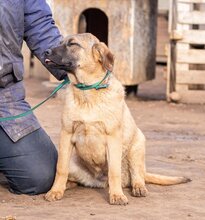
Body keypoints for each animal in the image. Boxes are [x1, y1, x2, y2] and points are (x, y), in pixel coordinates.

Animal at [43, 33, 191, 205]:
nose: (46, 52)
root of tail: (100, 180)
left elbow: (114, 171)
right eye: (60, 42)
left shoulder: (113, 138)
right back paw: (68, 184)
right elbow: (61, 169)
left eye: (73, 44)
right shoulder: (66, 135)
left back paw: (138, 187)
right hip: (74, 163)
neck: (88, 91)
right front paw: (55, 191)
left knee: (138, 175)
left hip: (137, 145)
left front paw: (117, 195)